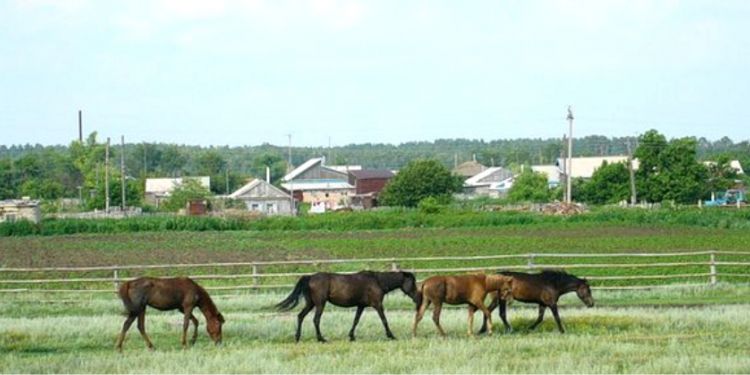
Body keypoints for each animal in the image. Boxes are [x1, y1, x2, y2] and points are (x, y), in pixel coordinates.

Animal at [276, 270, 420, 344]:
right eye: (412, 282)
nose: (418, 298)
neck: (378, 282)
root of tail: (310, 277)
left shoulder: (361, 306)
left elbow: (356, 320)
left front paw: (351, 336)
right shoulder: (377, 305)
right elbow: (384, 320)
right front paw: (391, 336)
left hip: (311, 303)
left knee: (300, 316)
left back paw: (297, 338)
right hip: (320, 304)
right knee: (316, 320)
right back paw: (321, 339)